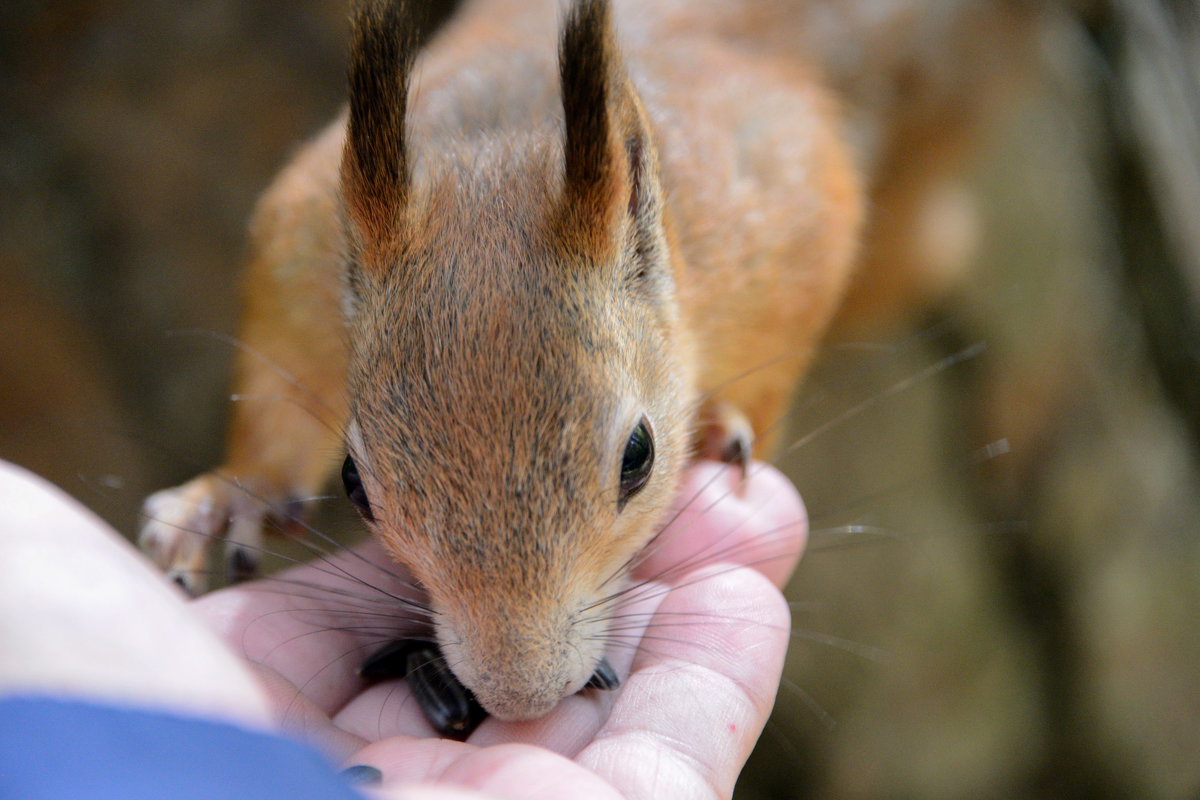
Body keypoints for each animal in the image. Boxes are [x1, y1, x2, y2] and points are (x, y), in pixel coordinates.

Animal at [138, 0, 1022, 729]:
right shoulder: (303, 241)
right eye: (356, 485)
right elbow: (280, 385)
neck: (510, 139)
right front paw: (233, 494)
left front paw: (723, 426)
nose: (521, 699)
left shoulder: (788, 208)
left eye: (640, 456)